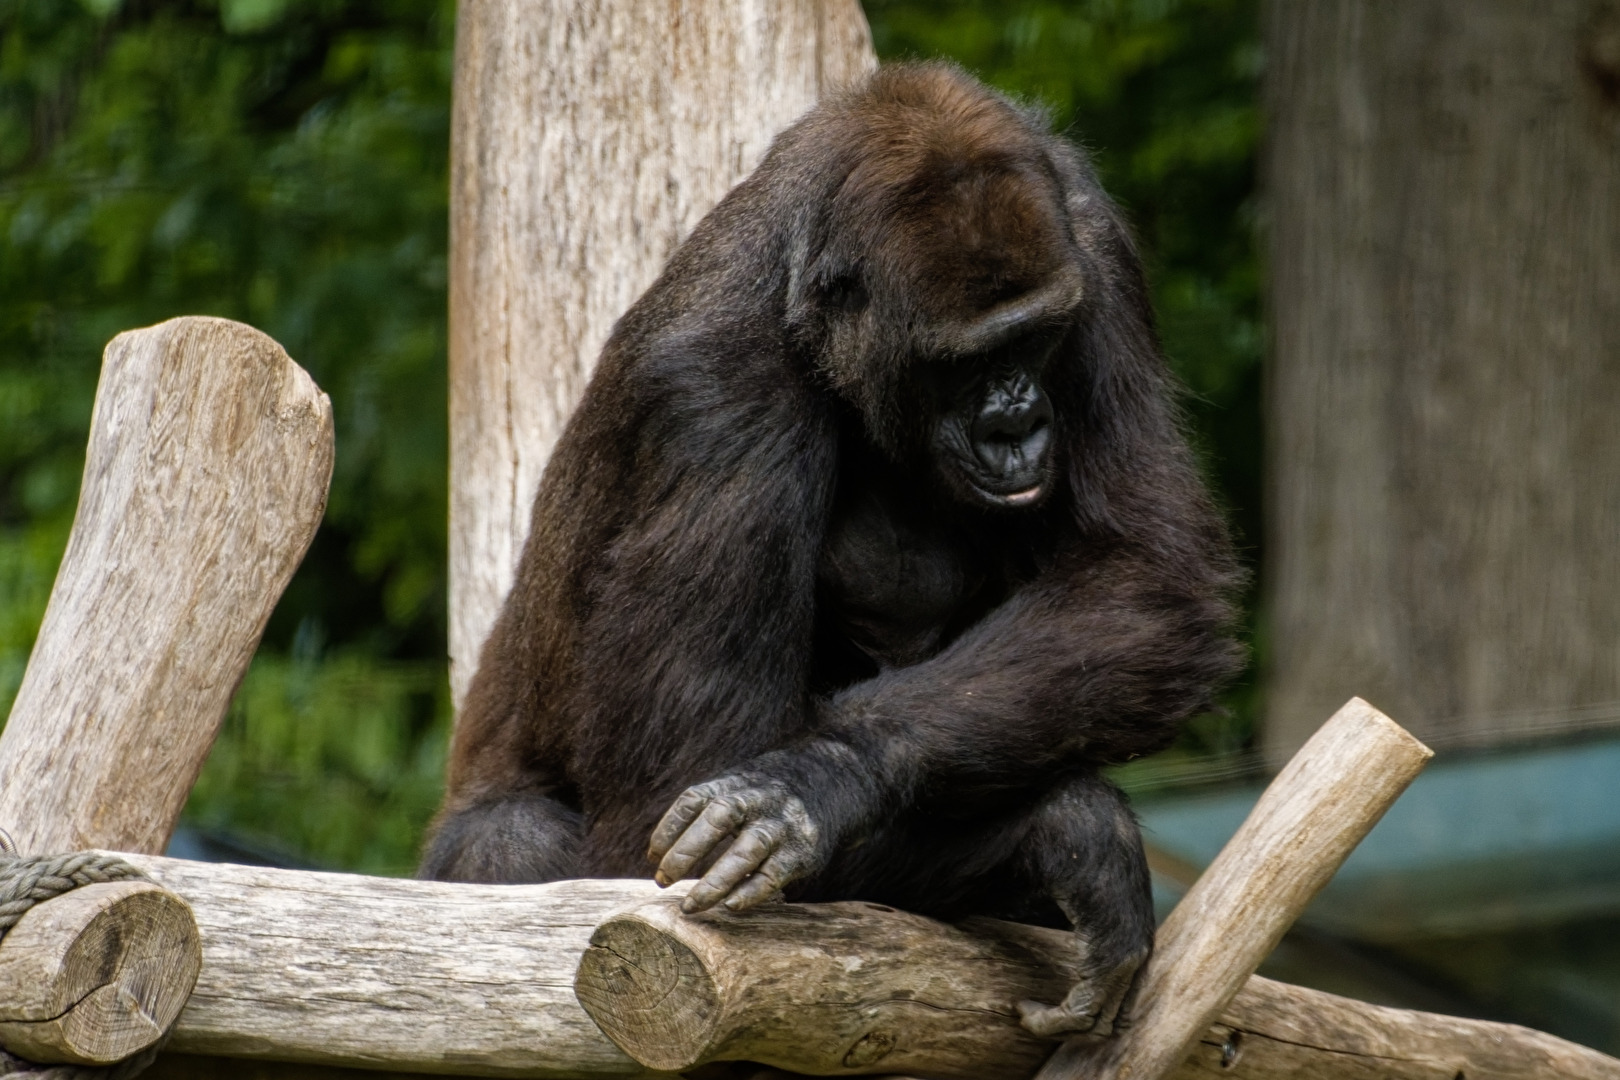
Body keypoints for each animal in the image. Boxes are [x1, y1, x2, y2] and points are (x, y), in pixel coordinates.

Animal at [422, 61, 1243, 1038]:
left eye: (1037, 336)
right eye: (960, 365)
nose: (1018, 425)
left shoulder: (1096, 253)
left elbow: (1145, 577)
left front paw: (823, 776)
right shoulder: (713, 395)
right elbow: (664, 813)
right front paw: (1068, 827)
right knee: (511, 843)